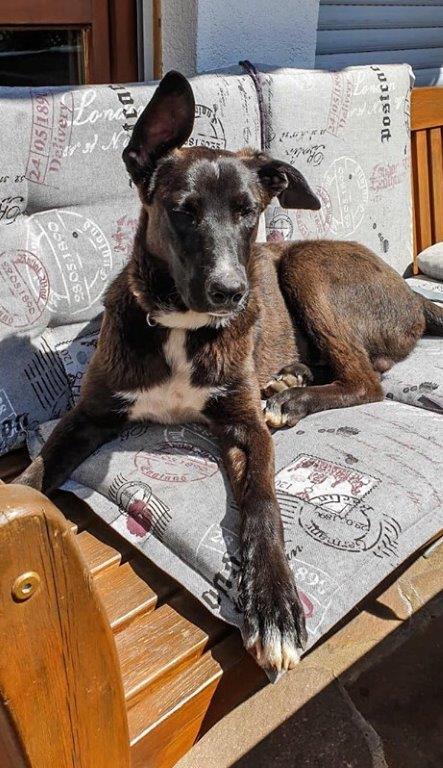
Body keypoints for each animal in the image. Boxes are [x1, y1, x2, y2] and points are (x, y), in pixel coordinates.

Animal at [16, 71, 443, 672]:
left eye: (248, 211)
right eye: (182, 209)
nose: (232, 293)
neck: (180, 325)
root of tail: (414, 295)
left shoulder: (245, 425)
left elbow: (263, 505)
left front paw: (274, 603)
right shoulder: (90, 415)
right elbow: (33, 478)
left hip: (304, 263)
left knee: (368, 380)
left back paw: (289, 398)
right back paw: (291, 378)